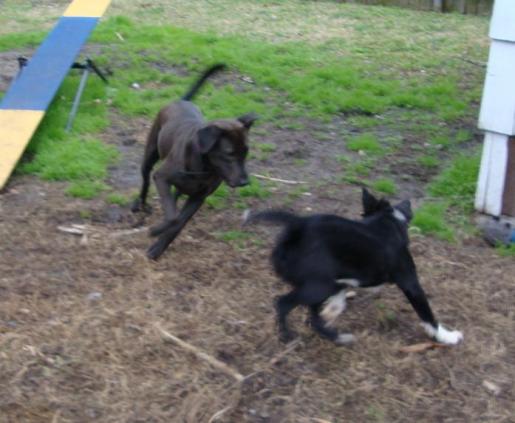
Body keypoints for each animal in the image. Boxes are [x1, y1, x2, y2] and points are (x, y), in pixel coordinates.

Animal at [131, 64, 256, 260]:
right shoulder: (161, 177)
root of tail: (181, 101)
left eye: (246, 152)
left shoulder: (198, 197)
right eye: (229, 154)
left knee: (174, 196)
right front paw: (156, 231)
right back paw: (140, 204)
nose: (245, 182)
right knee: (145, 180)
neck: (203, 168)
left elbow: (178, 223)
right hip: (151, 154)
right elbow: (173, 217)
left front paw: (158, 248)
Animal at [248, 190, 466, 348]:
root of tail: (297, 226)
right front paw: (446, 337)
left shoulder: (342, 279)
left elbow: (338, 300)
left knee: (312, 318)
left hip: (318, 285)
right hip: (318, 287)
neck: (386, 221)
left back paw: (335, 336)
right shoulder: (411, 283)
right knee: (283, 304)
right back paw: (288, 336)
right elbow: (427, 315)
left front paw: (332, 311)